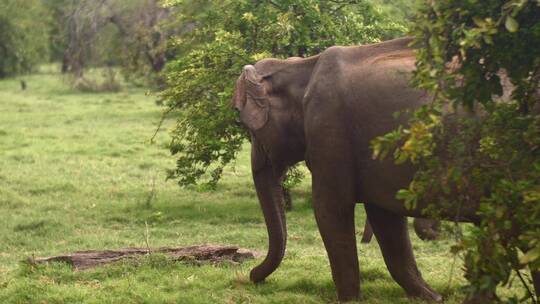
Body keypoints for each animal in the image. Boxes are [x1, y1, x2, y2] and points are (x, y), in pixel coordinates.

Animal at [232, 37, 540, 302]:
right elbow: (386, 220)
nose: (252, 276)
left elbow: (331, 209)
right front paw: (432, 298)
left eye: (249, 128)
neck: (301, 66)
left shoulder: (330, 133)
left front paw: (348, 300)